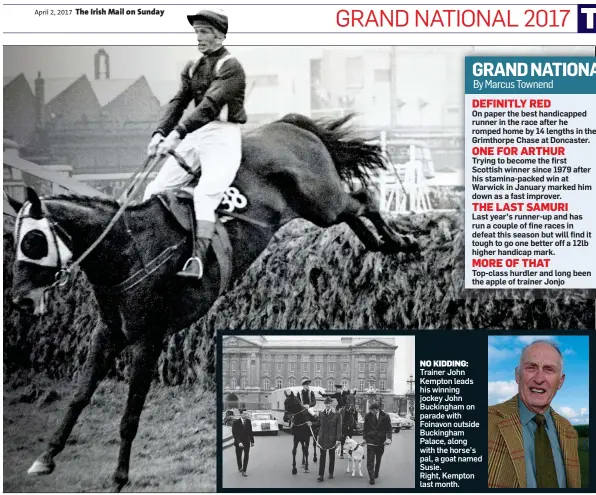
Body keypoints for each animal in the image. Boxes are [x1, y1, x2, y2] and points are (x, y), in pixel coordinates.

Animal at [8, 113, 420, 492]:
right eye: (15, 241)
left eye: (33, 240)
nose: (20, 301)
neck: (130, 249)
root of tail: (288, 124)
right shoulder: (108, 332)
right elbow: (79, 397)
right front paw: (46, 458)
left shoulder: (149, 339)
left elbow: (130, 414)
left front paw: (120, 476)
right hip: (320, 209)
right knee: (357, 213)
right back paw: (385, 243)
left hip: (321, 199)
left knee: (364, 200)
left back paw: (403, 240)